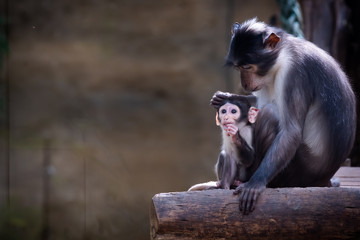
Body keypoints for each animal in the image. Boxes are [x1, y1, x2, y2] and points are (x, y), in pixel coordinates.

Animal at [214, 18, 358, 214]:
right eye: (238, 67)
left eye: (247, 67)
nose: (244, 84)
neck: (283, 54)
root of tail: (324, 179)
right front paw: (226, 97)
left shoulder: (295, 73)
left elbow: (291, 131)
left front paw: (255, 183)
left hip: (297, 172)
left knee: (269, 114)